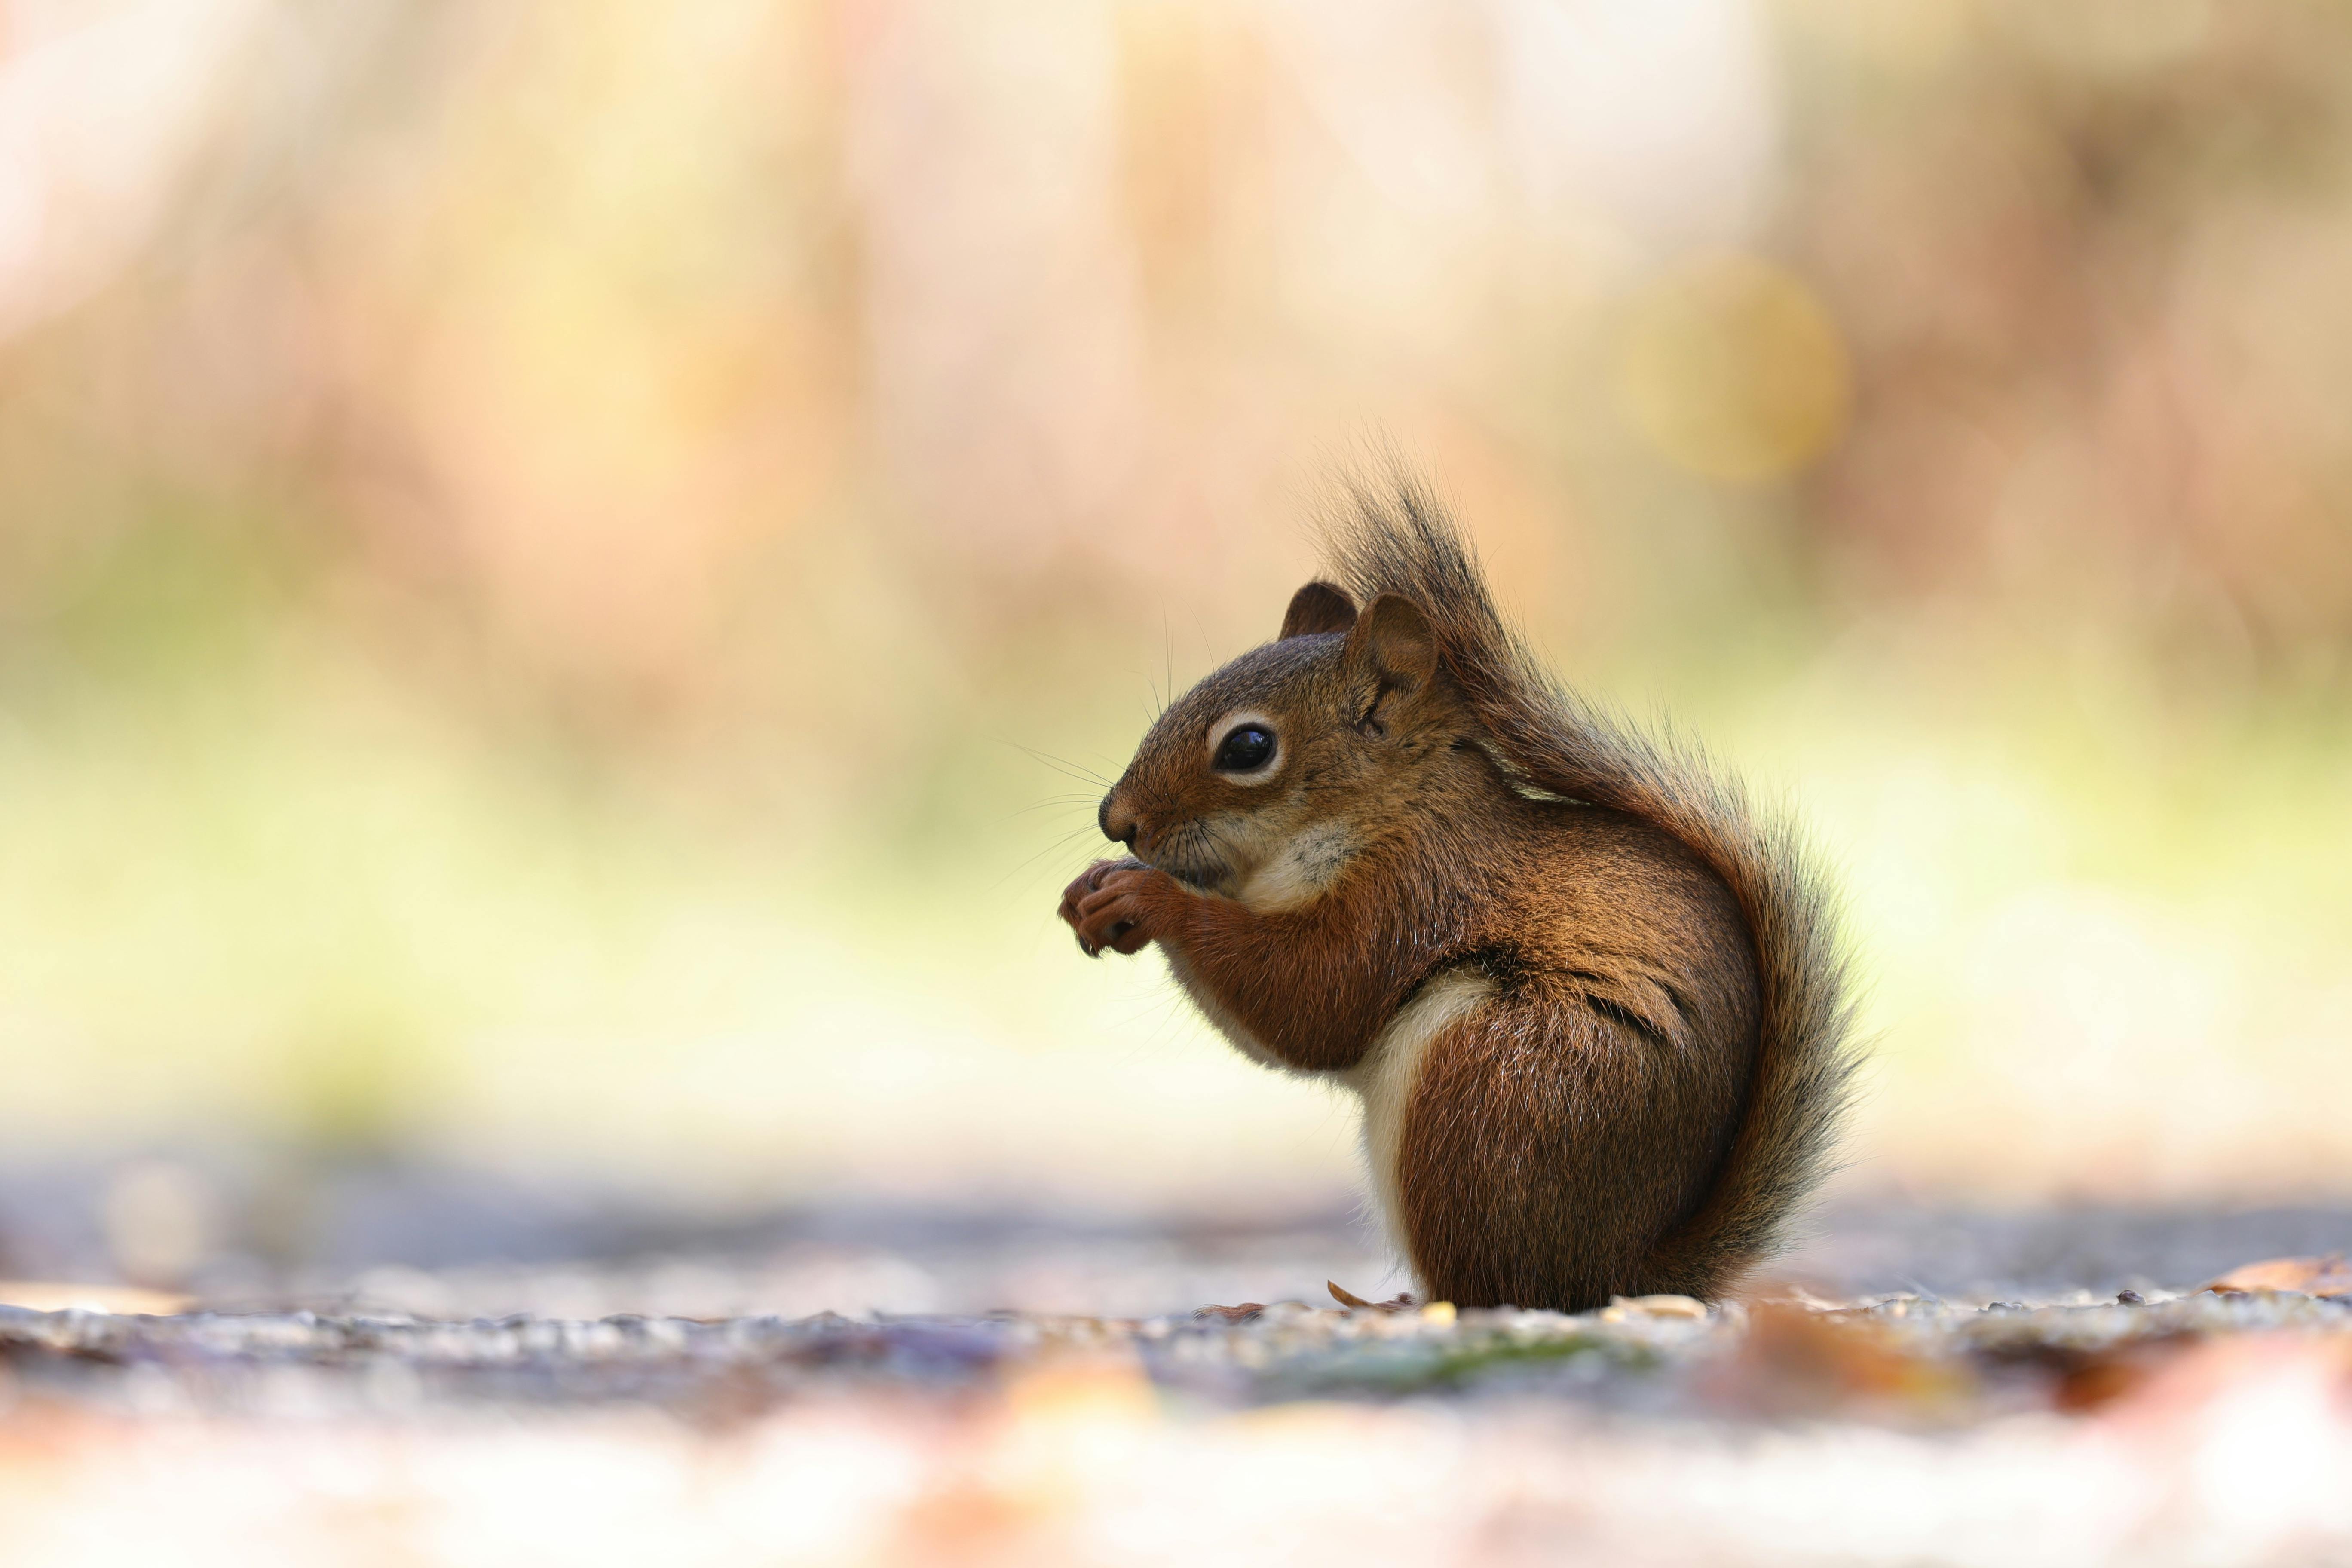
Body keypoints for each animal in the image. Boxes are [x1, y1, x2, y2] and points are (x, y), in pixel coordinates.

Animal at [1056, 476, 1857, 1313]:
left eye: (1248, 747)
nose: (1116, 821)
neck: (1390, 808)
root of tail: (1620, 1276)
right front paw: (1091, 890)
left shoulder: (1413, 891)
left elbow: (1312, 999)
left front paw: (1153, 899)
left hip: (1492, 1086)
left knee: (1486, 1286)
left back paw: (1377, 1306)